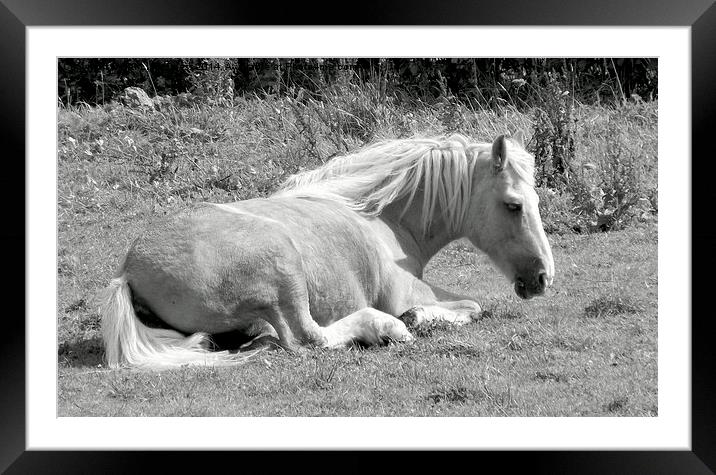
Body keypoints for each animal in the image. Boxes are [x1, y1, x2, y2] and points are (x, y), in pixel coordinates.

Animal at [98, 132, 552, 370]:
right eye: (514, 205)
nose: (543, 277)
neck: (382, 216)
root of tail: (128, 271)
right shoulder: (409, 291)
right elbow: (473, 306)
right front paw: (416, 318)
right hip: (283, 269)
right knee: (308, 336)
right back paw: (386, 328)